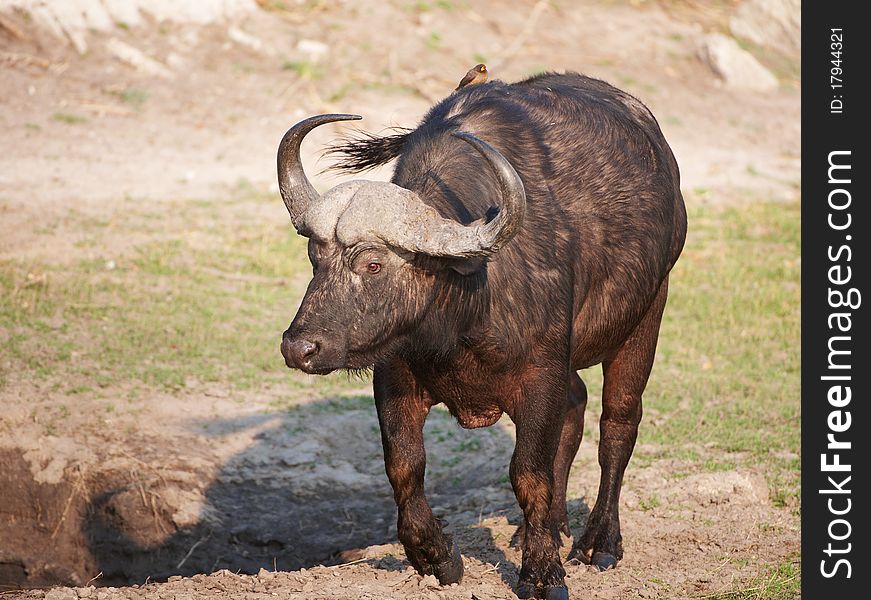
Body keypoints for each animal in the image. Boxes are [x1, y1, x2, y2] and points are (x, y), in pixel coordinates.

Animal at [276, 71, 684, 600]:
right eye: (315, 257)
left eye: (373, 263)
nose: (299, 347)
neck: (464, 309)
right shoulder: (395, 375)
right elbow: (404, 467)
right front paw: (436, 556)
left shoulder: (540, 375)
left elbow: (528, 474)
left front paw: (543, 573)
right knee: (576, 406)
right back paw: (545, 528)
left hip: (647, 315)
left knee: (618, 424)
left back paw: (599, 542)